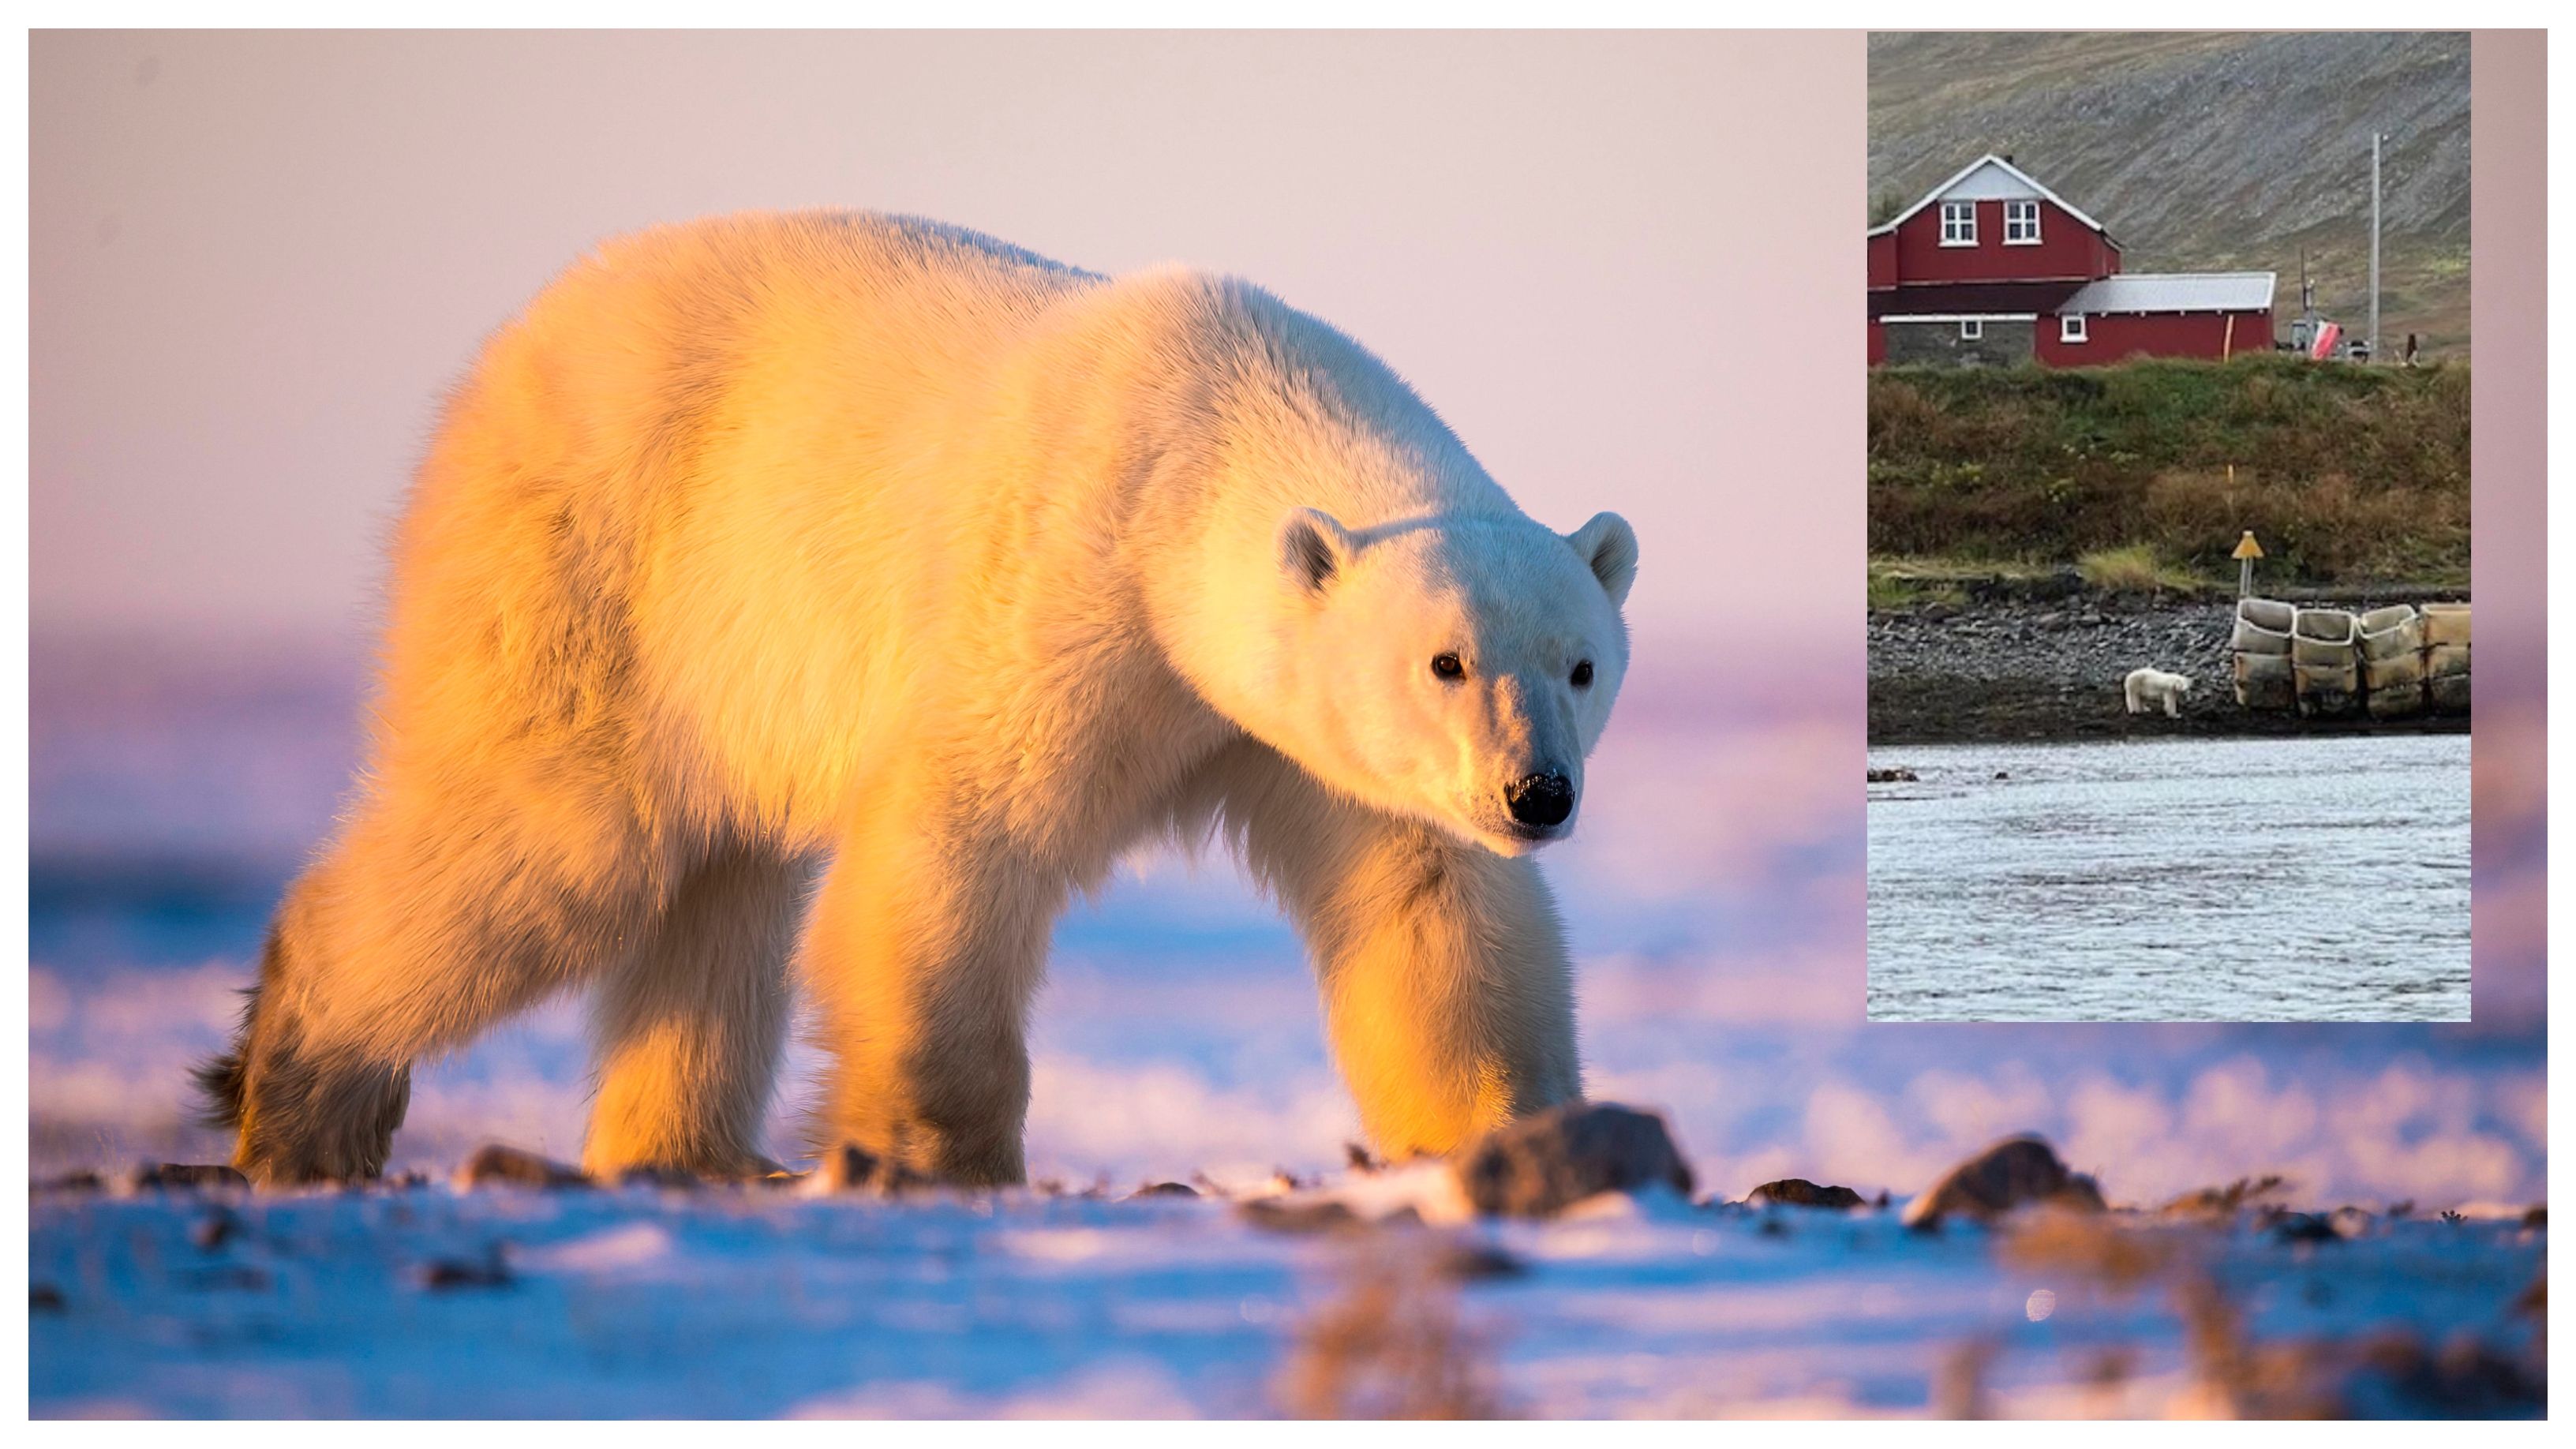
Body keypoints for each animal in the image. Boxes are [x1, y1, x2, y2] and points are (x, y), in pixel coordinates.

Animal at [206, 211, 1648, 1185]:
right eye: (1445, 661)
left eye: (1580, 664)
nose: (1536, 794)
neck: (1203, 435)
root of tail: (512, 348)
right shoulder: (1069, 584)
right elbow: (964, 838)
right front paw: (934, 1155)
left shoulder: (1289, 732)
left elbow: (1426, 898)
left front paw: (1514, 1133)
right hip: (590, 566)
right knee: (561, 840)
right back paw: (302, 1091)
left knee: (721, 895)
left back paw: (689, 1151)